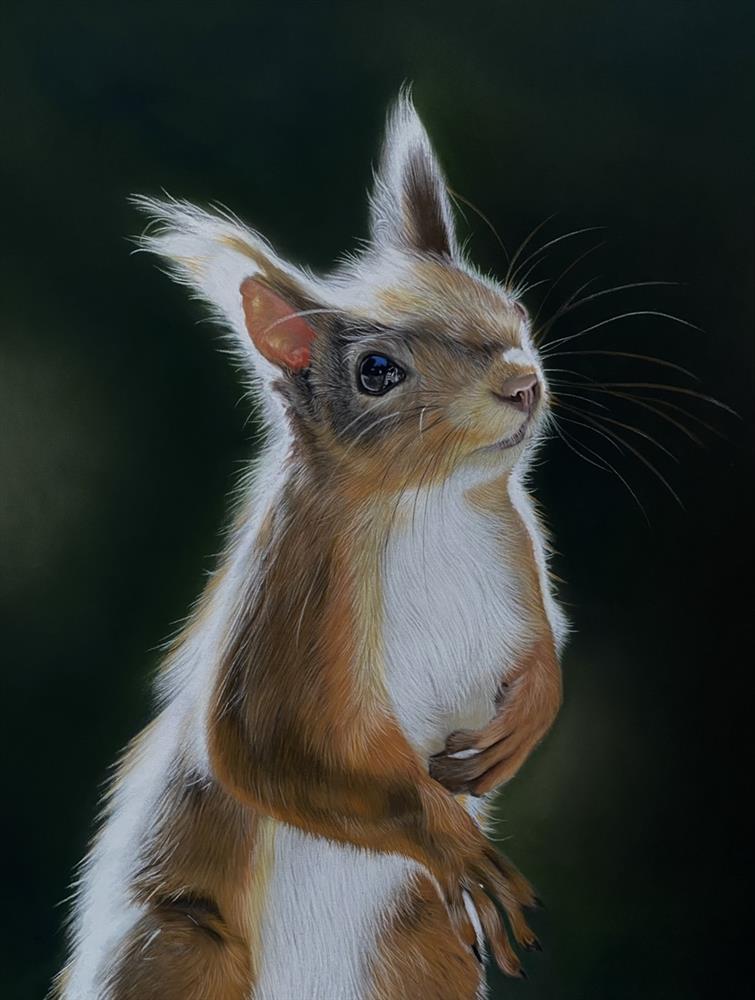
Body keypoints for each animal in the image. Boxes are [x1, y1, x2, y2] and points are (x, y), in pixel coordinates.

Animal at [53, 92, 568, 1000]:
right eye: (375, 372)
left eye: (513, 310)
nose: (522, 383)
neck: (433, 506)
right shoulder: (292, 600)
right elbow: (274, 750)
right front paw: (455, 842)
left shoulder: (520, 556)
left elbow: (543, 651)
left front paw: (521, 724)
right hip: (181, 952)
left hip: (421, 953)